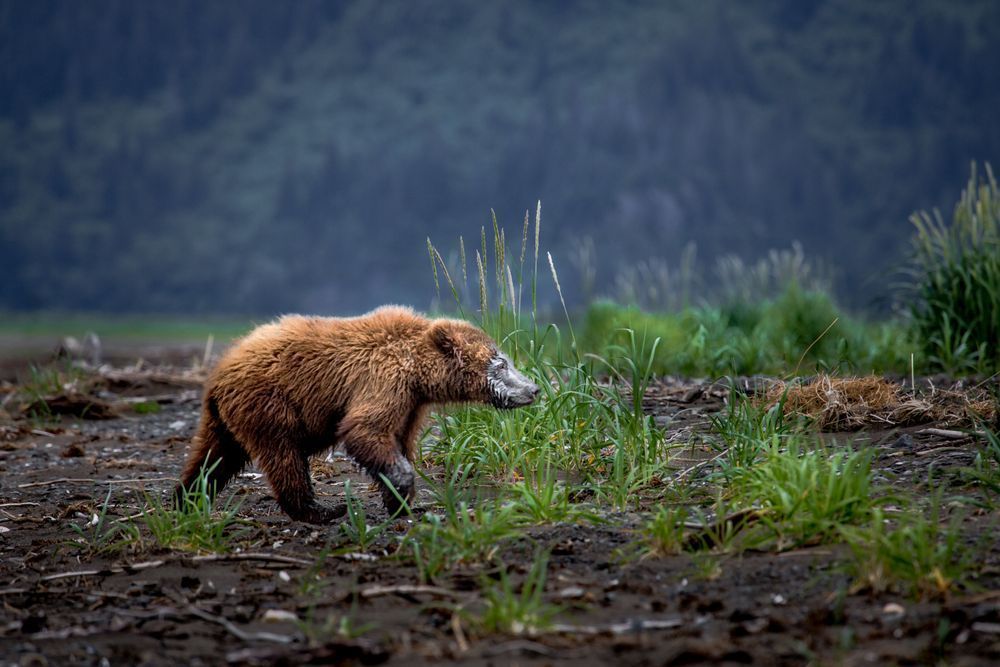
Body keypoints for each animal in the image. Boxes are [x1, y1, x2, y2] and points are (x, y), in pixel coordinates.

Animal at [175, 306, 540, 523]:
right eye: (500, 363)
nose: (534, 388)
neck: (418, 373)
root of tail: (220, 371)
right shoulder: (384, 380)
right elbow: (365, 429)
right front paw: (404, 486)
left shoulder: (411, 404)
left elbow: (398, 440)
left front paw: (400, 500)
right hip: (270, 403)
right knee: (283, 455)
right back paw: (319, 509)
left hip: (227, 417)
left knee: (213, 457)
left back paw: (187, 497)